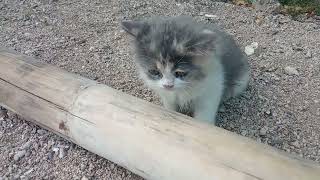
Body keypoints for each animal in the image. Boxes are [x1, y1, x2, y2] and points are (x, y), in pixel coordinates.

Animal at [121, 16, 249, 124]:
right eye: (155, 72)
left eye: (179, 73)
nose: (168, 85)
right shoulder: (167, 96)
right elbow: (171, 108)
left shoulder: (211, 90)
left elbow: (204, 118)